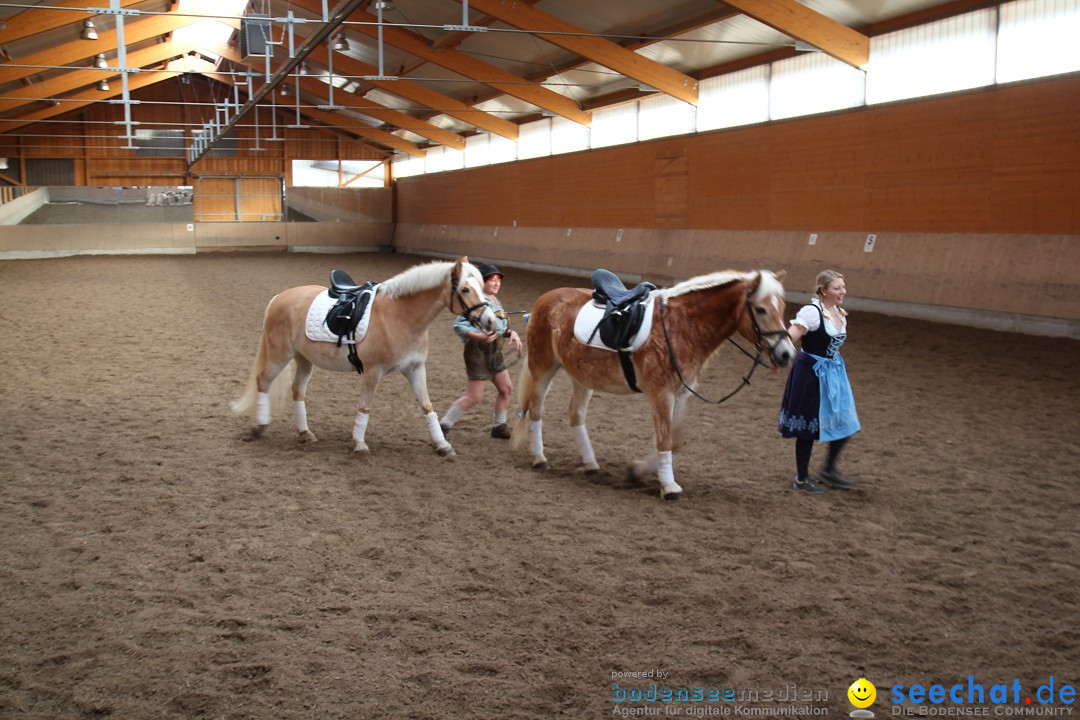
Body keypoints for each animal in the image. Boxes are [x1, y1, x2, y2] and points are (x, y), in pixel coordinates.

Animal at [234, 257, 494, 455]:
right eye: (465, 289)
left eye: (482, 288)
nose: (491, 321)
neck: (400, 315)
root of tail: (278, 298)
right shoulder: (373, 371)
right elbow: (365, 406)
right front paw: (359, 444)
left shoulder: (415, 368)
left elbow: (427, 406)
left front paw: (442, 444)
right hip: (280, 355)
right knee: (263, 381)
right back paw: (260, 426)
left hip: (304, 359)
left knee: (297, 391)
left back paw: (305, 433)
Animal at [509, 269, 799, 500]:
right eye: (761, 309)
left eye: (781, 308)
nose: (786, 354)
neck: (683, 324)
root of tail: (545, 299)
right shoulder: (662, 393)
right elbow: (665, 440)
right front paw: (669, 487)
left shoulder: (681, 394)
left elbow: (676, 441)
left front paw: (636, 472)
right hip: (543, 367)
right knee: (535, 410)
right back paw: (539, 458)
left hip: (582, 376)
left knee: (575, 415)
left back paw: (590, 463)